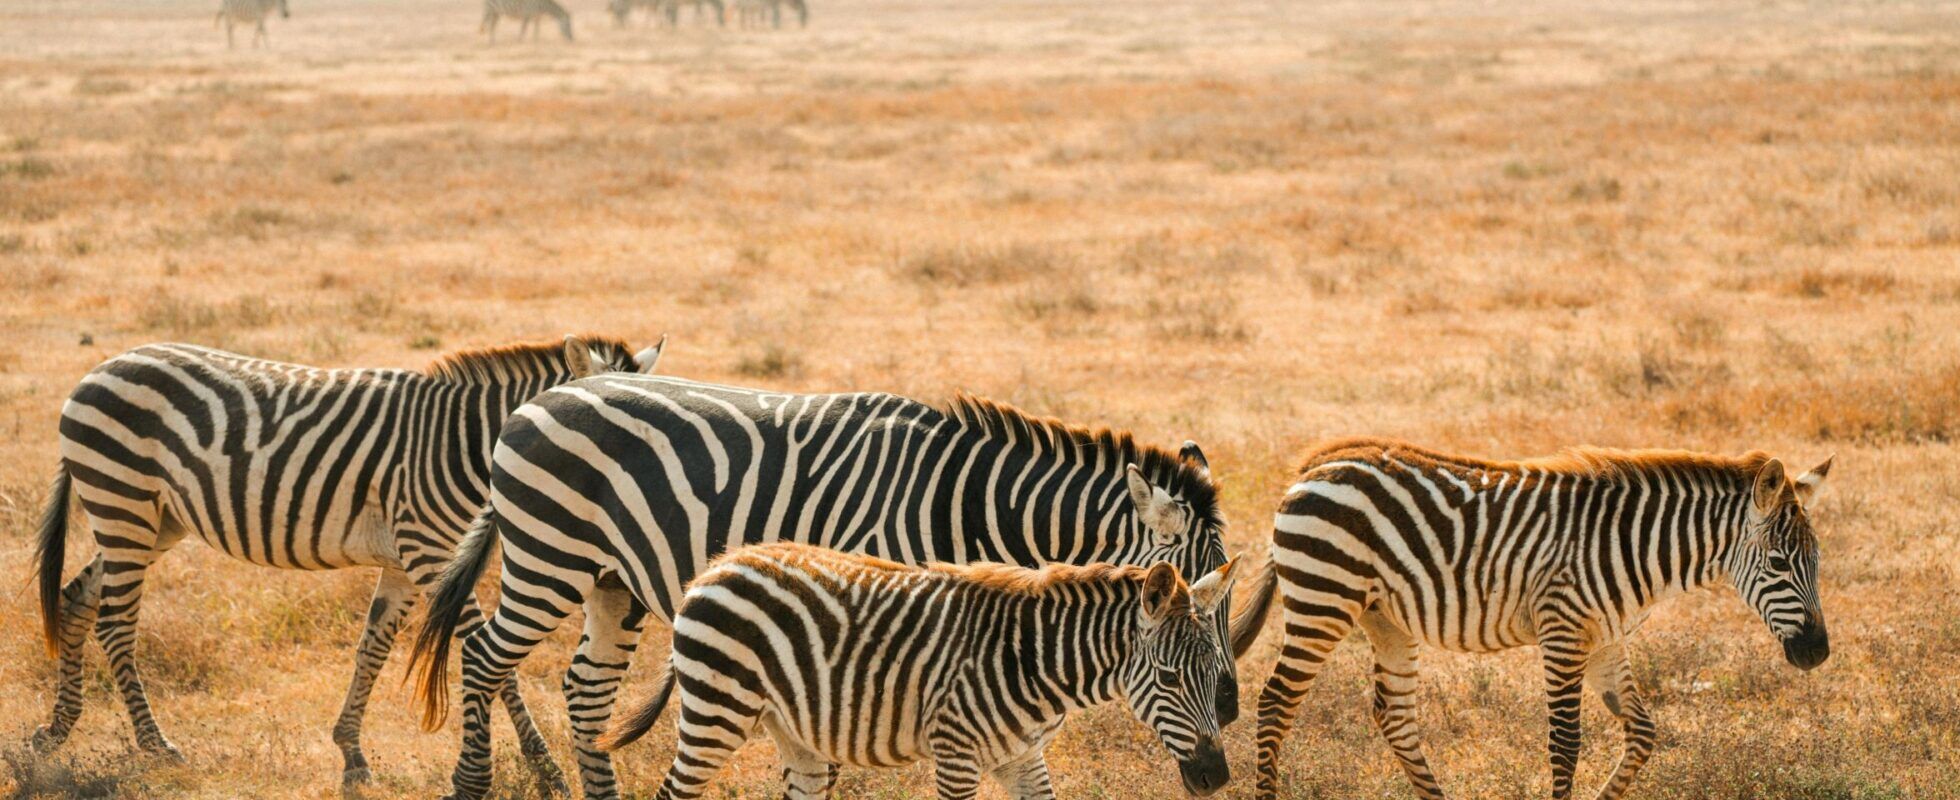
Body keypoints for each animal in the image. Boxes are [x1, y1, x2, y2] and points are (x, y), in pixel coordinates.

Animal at [31, 334, 664, 793]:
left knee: (75, 597)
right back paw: (155, 745)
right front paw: (546, 769)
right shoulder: (432, 553)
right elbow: (495, 664)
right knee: (116, 624)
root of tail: (103, 367)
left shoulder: (407, 562)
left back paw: (56, 731)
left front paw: (351, 753)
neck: (468, 443)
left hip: (153, 519)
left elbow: (371, 649)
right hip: (124, 503)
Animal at [595, 542, 1241, 799]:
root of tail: (718, 566)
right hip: (717, 711)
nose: (1215, 778)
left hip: (791, 728)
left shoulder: (1023, 757)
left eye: (1215, 677)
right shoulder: (955, 753)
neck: (1035, 660)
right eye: (1169, 680)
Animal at [1230, 438, 1834, 800]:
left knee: (1394, 715)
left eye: (1818, 561)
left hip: (1385, 617)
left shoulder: (1606, 639)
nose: (1819, 653)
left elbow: (1642, 734)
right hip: (1323, 599)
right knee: (1276, 702)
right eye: (1779, 563)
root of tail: (1317, 461)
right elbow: (1565, 743)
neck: (1633, 546)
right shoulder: (1563, 629)